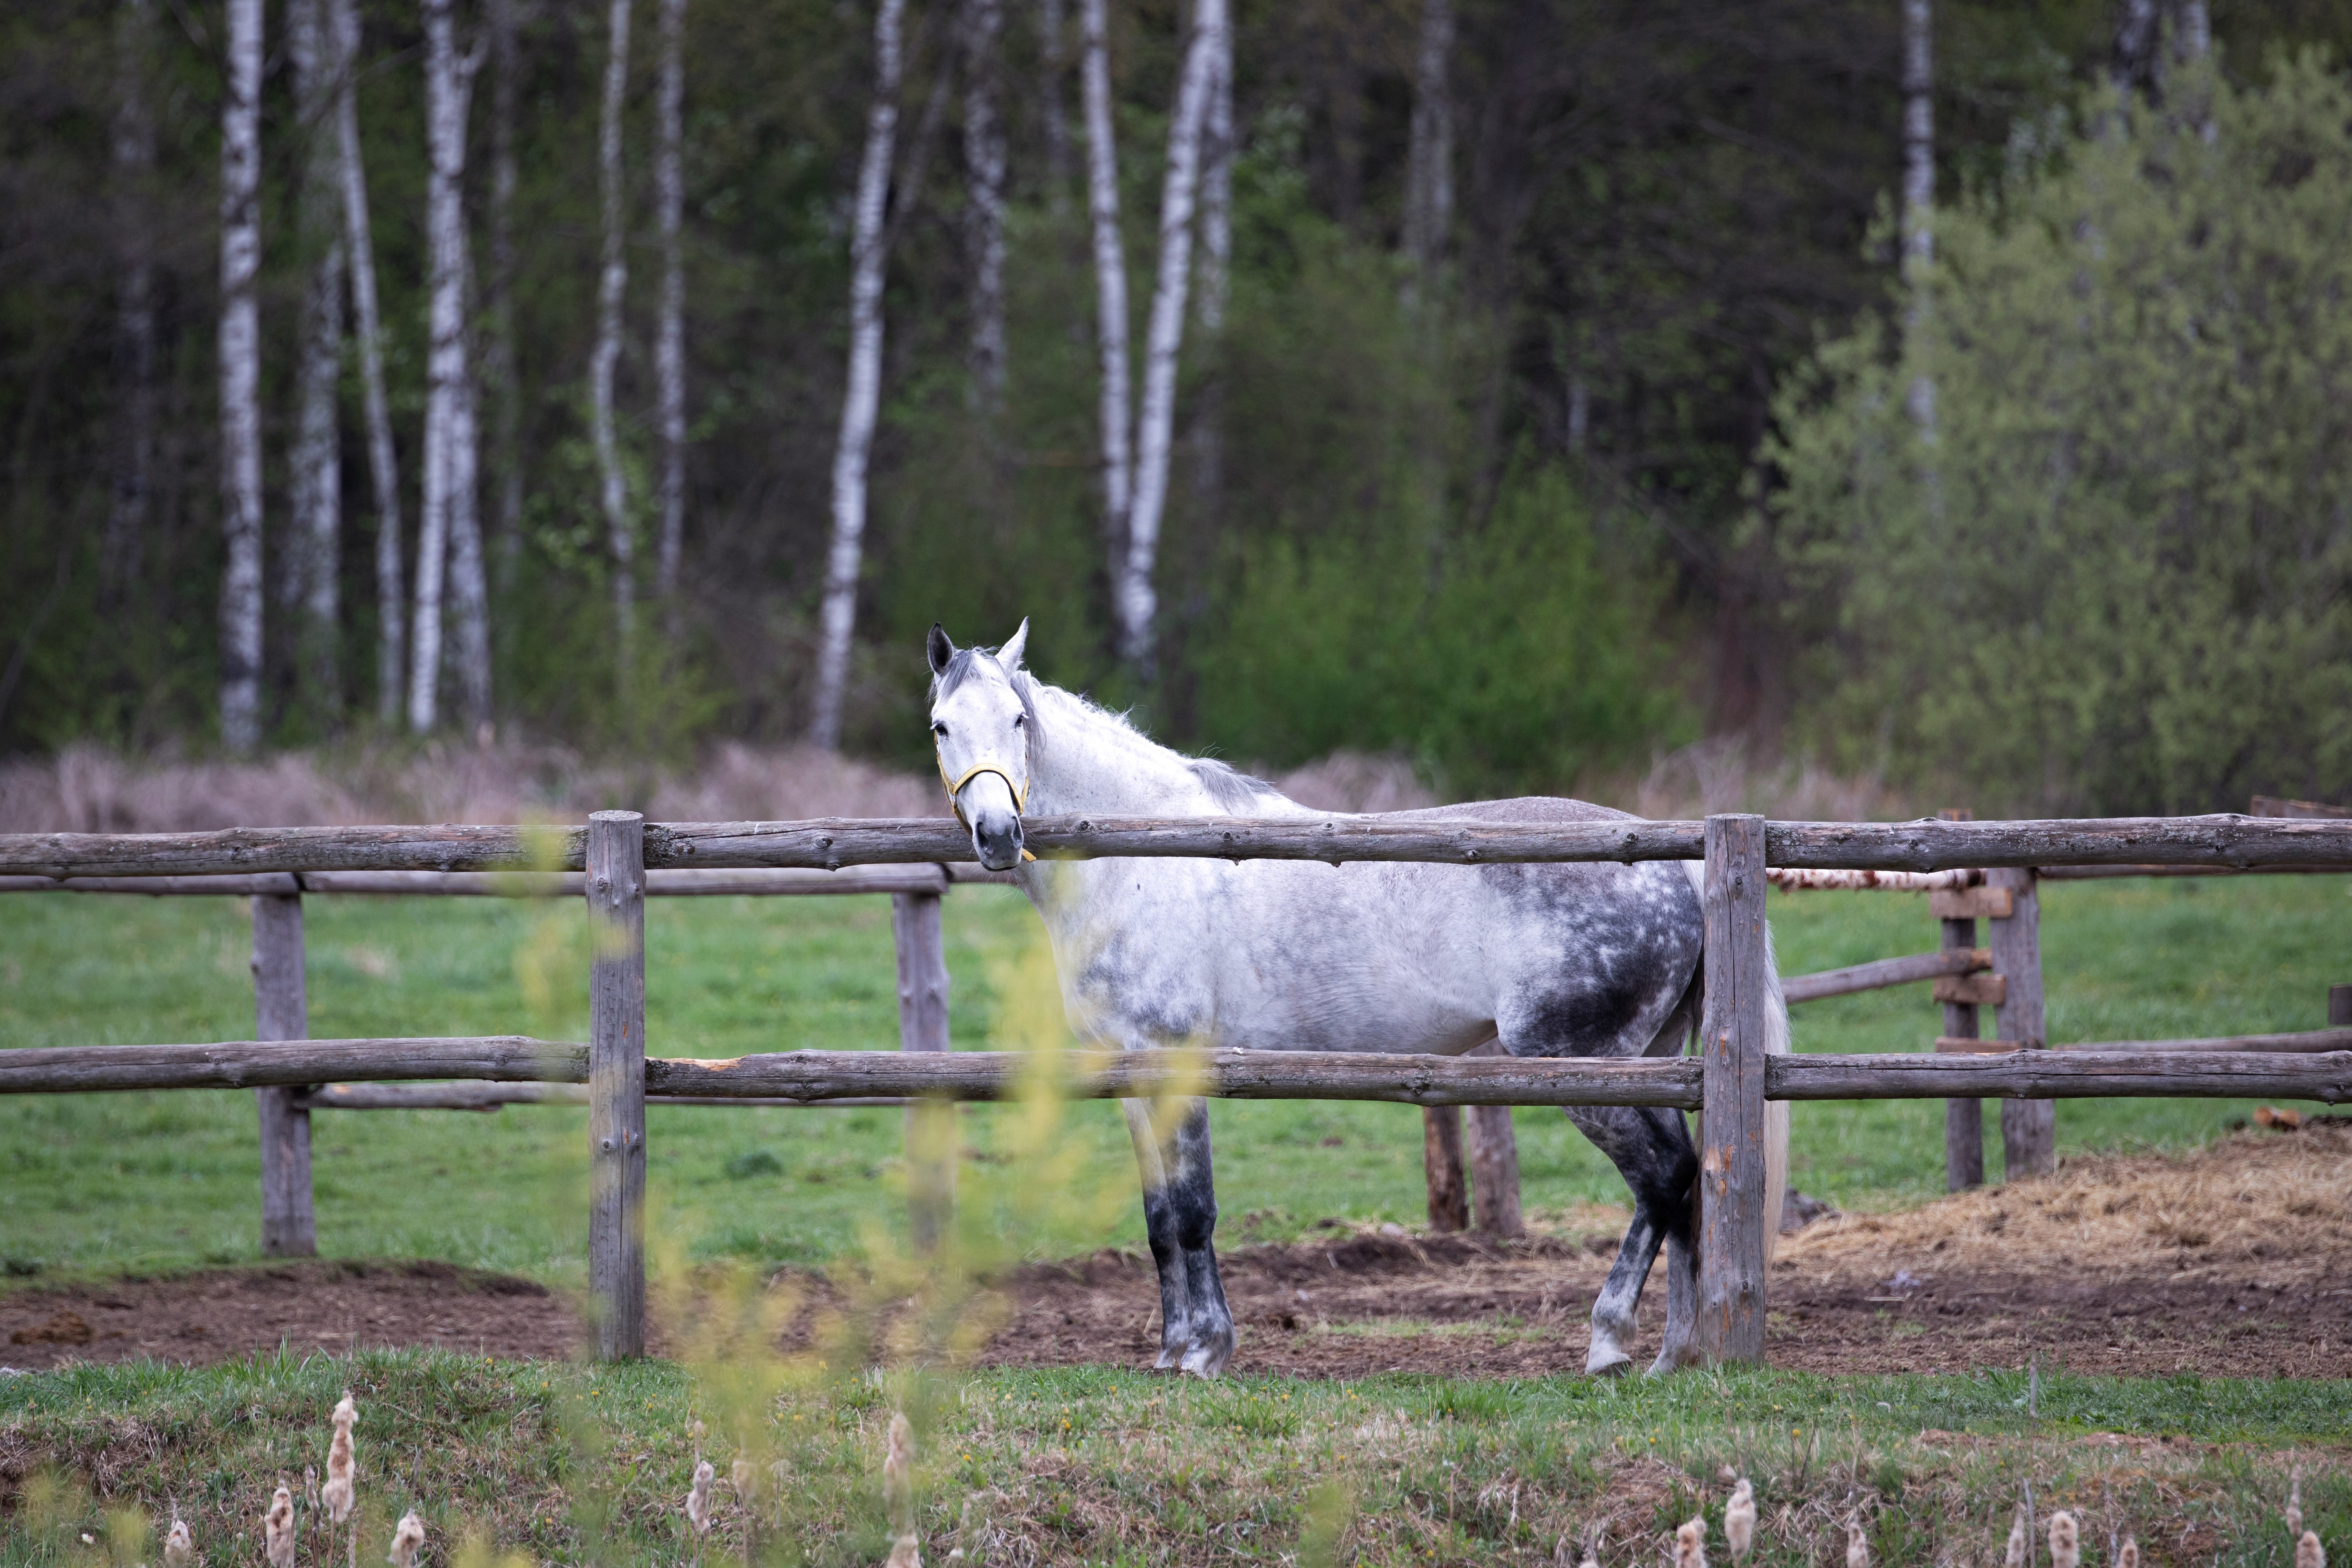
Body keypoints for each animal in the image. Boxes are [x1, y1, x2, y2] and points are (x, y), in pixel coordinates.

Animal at [927, 621, 1788, 1382]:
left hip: (1581, 1067)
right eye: (941, 726)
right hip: (1647, 1064)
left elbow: (1194, 1212)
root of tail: (1680, 865)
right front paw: (1172, 1352)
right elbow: (1160, 1220)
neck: (1143, 860)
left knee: (1664, 1176)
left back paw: (1612, 1344)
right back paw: (1674, 1352)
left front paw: (1205, 1351)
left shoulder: (1177, 1063)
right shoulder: (1134, 1077)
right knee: (1681, 1183)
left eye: (1017, 720)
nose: (999, 833)